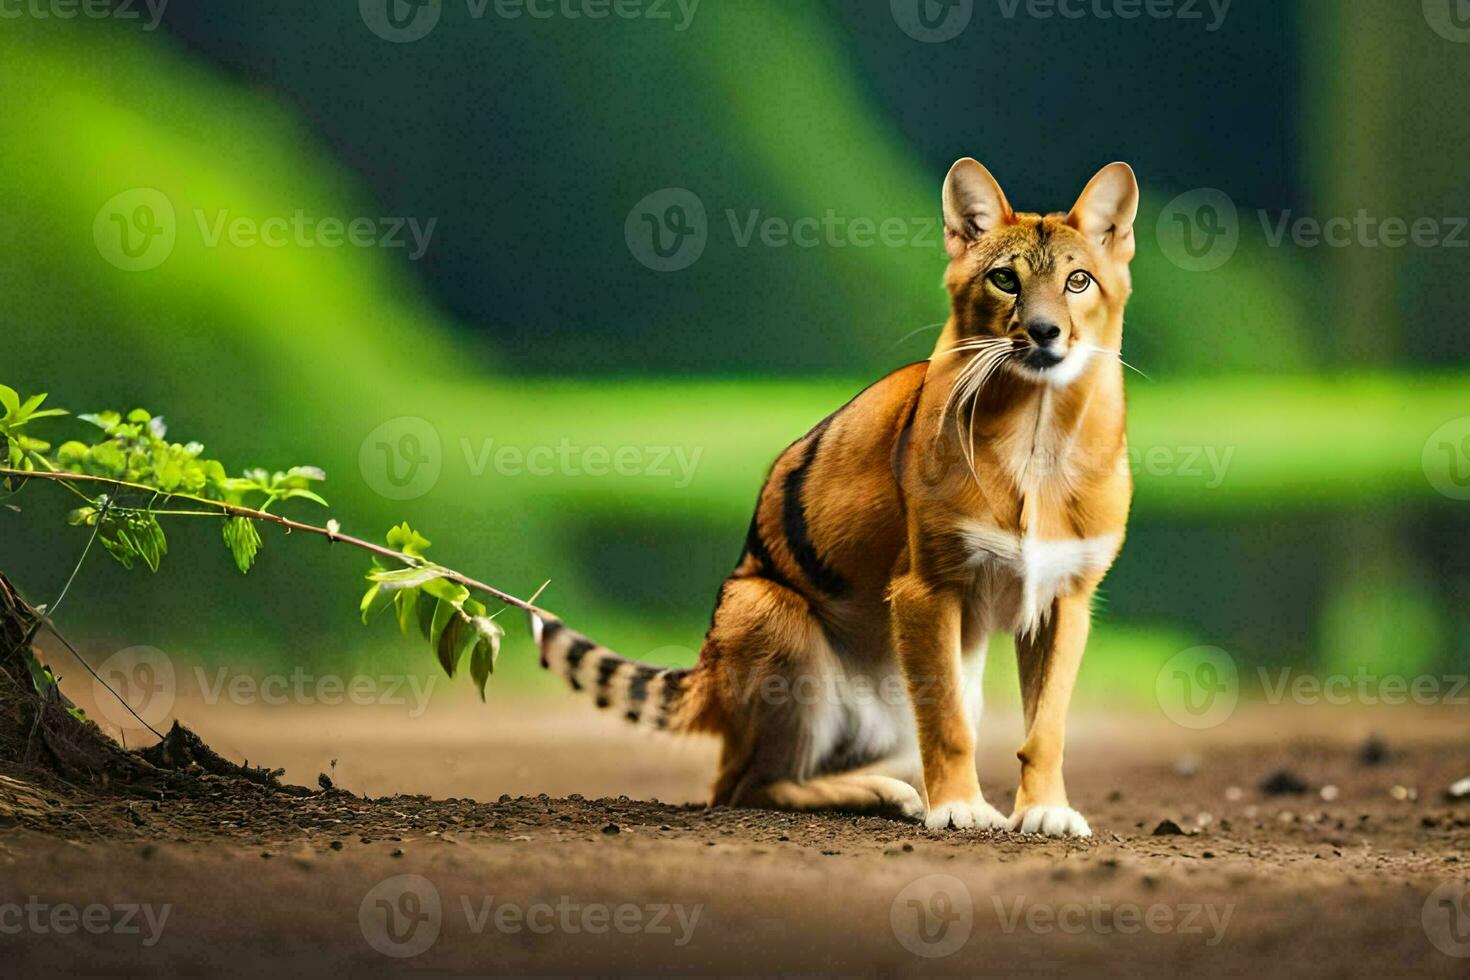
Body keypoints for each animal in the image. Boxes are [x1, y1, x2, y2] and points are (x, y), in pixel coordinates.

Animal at [529, 159, 1134, 834]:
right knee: (742, 784)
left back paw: (888, 790)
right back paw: (889, 793)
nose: (1045, 332)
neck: (1038, 428)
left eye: (1079, 280)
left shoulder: (1066, 598)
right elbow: (947, 720)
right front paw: (960, 808)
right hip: (773, 615)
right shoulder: (926, 589)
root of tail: (709, 669)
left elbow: (1047, 725)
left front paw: (1046, 811)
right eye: (1005, 279)